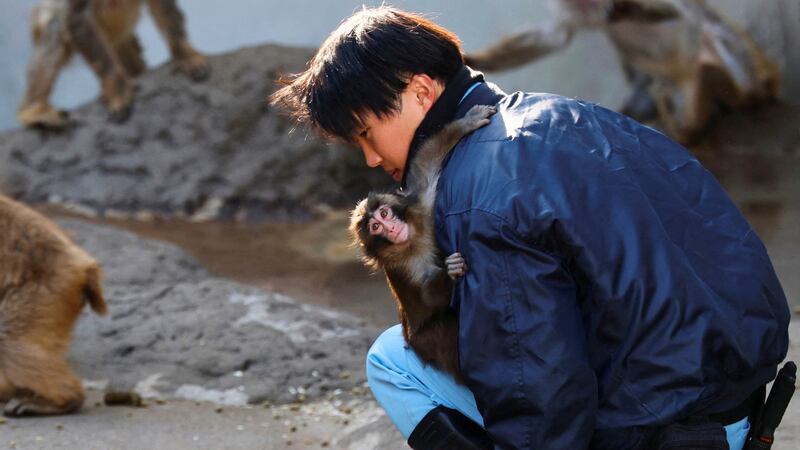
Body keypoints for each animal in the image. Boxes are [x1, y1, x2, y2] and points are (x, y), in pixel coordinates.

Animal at [350, 104, 496, 383]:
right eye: (375, 227)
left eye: (384, 214)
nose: (392, 228)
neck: (412, 240)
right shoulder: (402, 266)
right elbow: (428, 297)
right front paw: (451, 273)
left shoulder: (421, 207)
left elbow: (427, 160)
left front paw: (465, 124)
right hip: (427, 342)